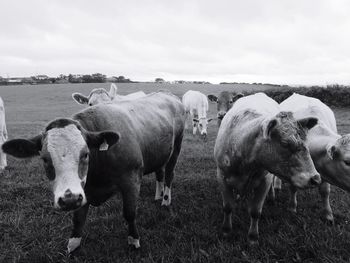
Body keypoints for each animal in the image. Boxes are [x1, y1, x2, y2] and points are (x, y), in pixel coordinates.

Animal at [2, 92, 186, 255]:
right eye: (45, 159)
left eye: (85, 154)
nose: (68, 199)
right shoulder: (82, 191)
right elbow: (78, 220)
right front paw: (73, 244)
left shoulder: (131, 180)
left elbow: (129, 213)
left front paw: (134, 240)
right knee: (160, 173)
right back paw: (158, 195)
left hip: (176, 147)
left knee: (169, 174)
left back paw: (165, 200)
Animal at [213, 92, 320, 245]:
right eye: (284, 143)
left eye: (306, 142)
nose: (315, 178)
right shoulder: (221, 176)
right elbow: (228, 207)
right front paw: (226, 230)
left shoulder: (264, 180)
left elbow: (255, 211)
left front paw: (252, 237)